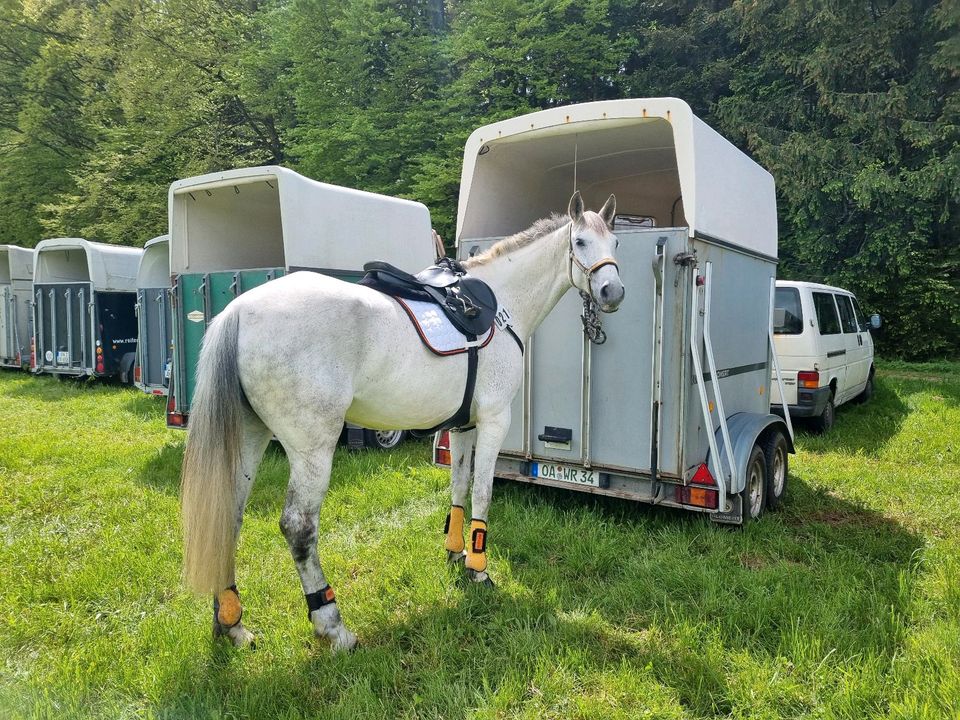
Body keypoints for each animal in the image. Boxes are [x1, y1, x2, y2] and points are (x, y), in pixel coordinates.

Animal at [182, 190, 624, 648]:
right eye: (580, 242)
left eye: (615, 242)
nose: (613, 291)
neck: (503, 304)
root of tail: (239, 311)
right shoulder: (493, 421)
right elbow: (482, 493)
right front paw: (479, 569)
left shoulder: (463, 426)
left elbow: (458, 488)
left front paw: (455, 552)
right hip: (312, 449)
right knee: (298, 526)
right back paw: (332, 625)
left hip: (250, 437)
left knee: (228, 515)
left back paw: (231, 622)